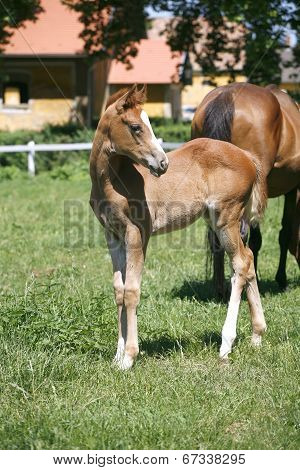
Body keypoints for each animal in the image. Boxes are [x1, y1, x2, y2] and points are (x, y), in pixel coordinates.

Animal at [89, 85, 268, 370]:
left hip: (226, 217)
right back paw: (257, 335)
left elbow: (131, 291)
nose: (162, 164)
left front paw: (129, 357)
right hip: (216, 219)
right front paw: (117, 356)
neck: (111, 182)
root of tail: (248, 157)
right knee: (248, 259)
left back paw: (226, 344)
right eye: (135, 127)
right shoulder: (112, 235)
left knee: (240, 263)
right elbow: (118, 290)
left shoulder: (137, 234)